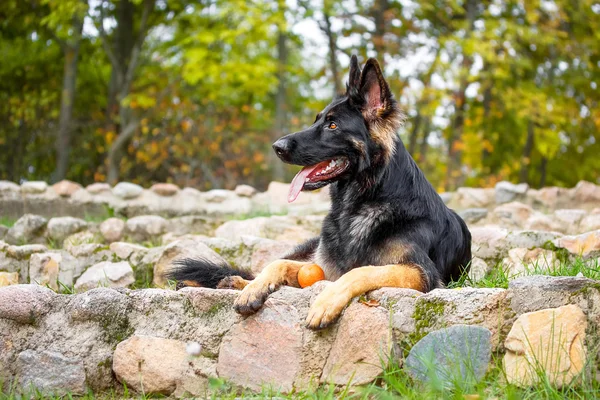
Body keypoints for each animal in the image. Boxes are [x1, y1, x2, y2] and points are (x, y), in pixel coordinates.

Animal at [170, 57, 474, 332]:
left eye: (332, 125)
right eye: (316, 120)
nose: (277, 147)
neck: (358, 205)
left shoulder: (421, 273)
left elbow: (361, 271)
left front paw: (325, 301)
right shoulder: (322, 267)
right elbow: (279, 264)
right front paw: (254, 289)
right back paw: (229, 283)